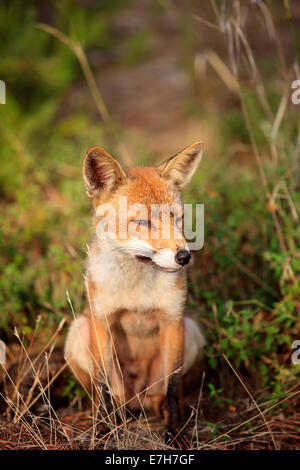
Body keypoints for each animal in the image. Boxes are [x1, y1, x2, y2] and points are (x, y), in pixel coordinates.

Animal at [64, 141, 205, 438]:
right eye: (142, 223)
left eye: (179, 219)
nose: (184, 257)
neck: (136, 291)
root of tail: (137, 399)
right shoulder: (102, 321)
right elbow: (102, 384)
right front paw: (102, 429)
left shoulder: (173, 320)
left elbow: (173, 386)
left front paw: (175, 433)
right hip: (79, 330)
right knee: (106, 394)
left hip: (190, 331)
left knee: (165, 395)